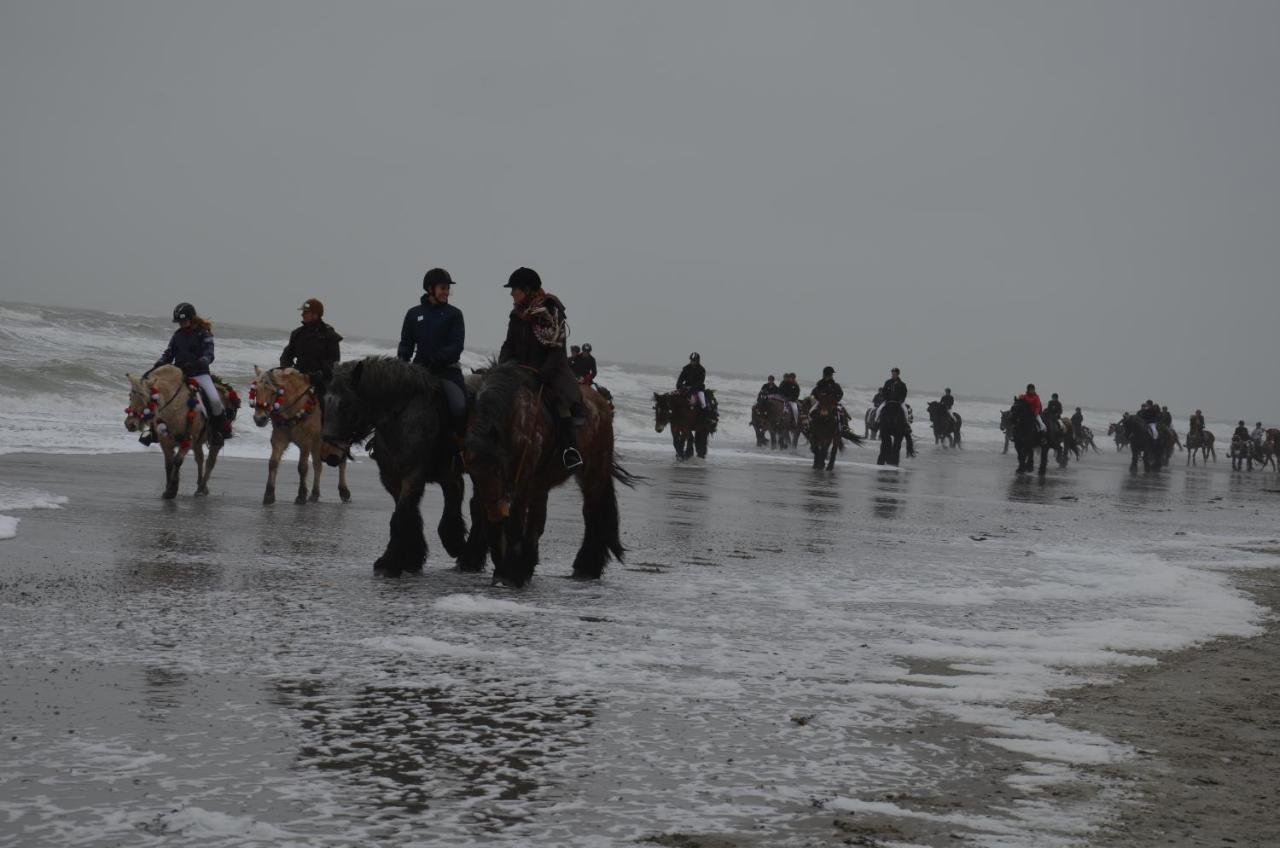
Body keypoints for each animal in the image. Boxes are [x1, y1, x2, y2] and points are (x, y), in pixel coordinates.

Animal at [126, 366, 229, 499]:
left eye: (145, 399)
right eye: (130, 397)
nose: (130, 424)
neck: (175, 406)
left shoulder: (188, 440)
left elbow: (177, 461)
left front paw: (172, 489)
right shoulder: (165, 441)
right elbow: (169, 463)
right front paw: (169, 488)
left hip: (213, 441)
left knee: (210, 462)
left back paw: (201, 488)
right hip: (198, 442)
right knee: (199, 459)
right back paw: (201, 486)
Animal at [250, 366, 350, 504]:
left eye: (273, 392)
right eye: (256, 391)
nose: (259, 419)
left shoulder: (306, 442)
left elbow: (302, 467)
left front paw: (301, 495)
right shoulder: (279, 438)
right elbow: (273, 463)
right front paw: (269, 494)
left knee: (342, 462)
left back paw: (343, 491)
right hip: (317, 442)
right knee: (318, 465)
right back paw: (315, 493)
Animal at [320, 356, 471, 581]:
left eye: (346, 404)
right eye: (325, 401)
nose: (328, 453)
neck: (401, 416)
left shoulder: (413, 475)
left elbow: (400, 517)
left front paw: (389, 563)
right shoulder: (391, 477)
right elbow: (409, 515)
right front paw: (411, 558)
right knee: (456, 487)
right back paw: (454, 540)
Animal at [465, 366, 634, 591]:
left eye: (497, 468)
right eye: (472, 472)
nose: (496, 511)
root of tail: (603, 404)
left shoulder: (523, 479)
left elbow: (514, 523)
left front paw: (509, 573)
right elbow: (489, 521)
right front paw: (505, 569)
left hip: (594, 472)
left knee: (591, 513)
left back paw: (586, 566)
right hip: (544, 483)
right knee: (538, 521)